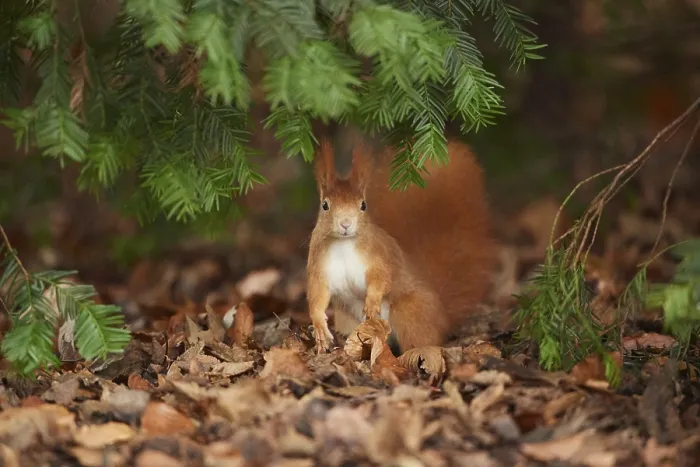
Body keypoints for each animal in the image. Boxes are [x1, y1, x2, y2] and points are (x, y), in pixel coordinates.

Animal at [306, 138, 495, 354]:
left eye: (363, 205)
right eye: (325, 205)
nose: (346, 224)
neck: (344, 244)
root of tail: (442, 316)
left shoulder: (380, 255)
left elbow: (382, 276)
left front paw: (372, 301)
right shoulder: (319, 266)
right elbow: (317, 294)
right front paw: (319, 326)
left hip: (407, 313)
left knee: (422, 340)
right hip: (347, 319)